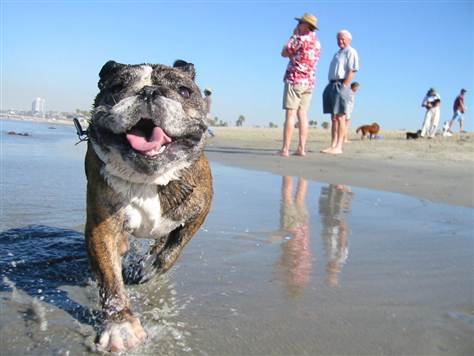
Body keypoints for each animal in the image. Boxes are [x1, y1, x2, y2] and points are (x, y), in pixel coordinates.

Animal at [84, 59, 213, 352]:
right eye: (117, 87)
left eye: (184, 91)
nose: (149, 91)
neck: (149, 178)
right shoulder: (101, 228)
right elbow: (111, 280)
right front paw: (120, 325)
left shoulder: (199, 212)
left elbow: (173, 249)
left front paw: (148, 268)